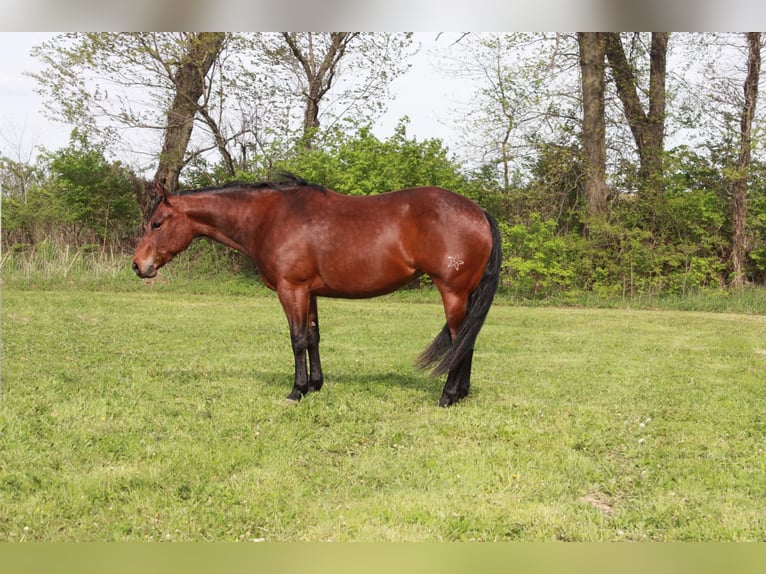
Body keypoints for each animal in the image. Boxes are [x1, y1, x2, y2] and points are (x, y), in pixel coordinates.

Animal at [132, 177, 504, 410]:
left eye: (157, 223)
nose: (138, 265)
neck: (269, 218)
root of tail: (479, 213)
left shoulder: (291, 289)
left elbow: (296, 339)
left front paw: (296, 391)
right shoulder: (309, 292)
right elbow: (313, 337)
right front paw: (314, 385)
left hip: (452, 292)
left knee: (460, 339)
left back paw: (448, 396)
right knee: (467, 339)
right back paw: (461, 394)